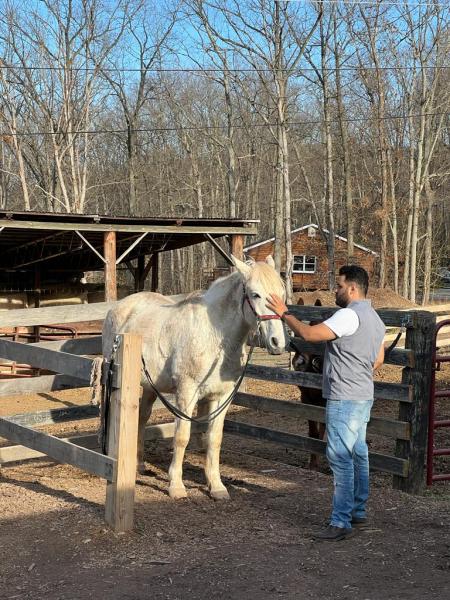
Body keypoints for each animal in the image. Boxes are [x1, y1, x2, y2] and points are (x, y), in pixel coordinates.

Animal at [102, 255, 284, 500]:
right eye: (255, 294)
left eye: (281, 292)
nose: (277, 342)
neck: (215, 338)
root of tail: (119, 307)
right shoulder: (186, 394)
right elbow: (182, 437)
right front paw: (176, 486)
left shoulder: (221, 397)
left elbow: (214, 439)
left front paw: (216, 486)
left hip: (150, 386)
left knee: (142, 417)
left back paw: (139, 465)